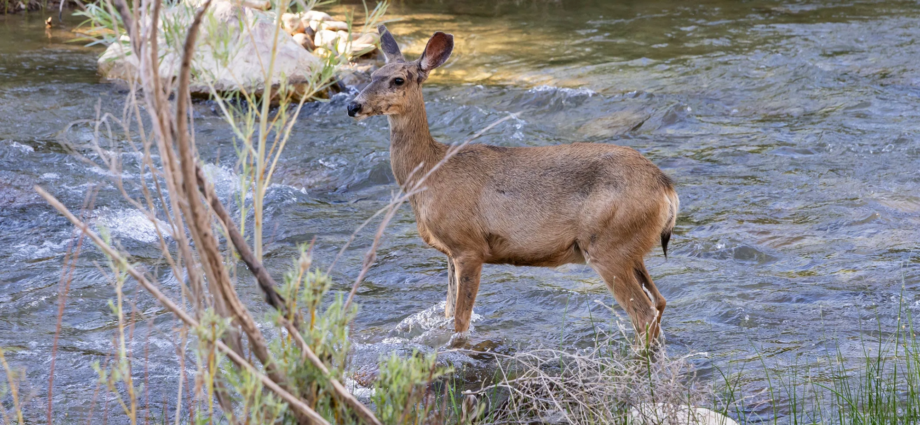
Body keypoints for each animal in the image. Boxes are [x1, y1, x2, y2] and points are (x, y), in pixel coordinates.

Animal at [346, 26, 680, 344]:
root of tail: (667, 188)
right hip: (630, 247)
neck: (430, 173)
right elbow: (447, 311)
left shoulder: (468, 246)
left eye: (398, 80)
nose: (353, 106)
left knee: (644, 314)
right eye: (372, 75)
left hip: (608, 243)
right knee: (660, 301)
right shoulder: (449, 253)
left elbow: (461, 321)